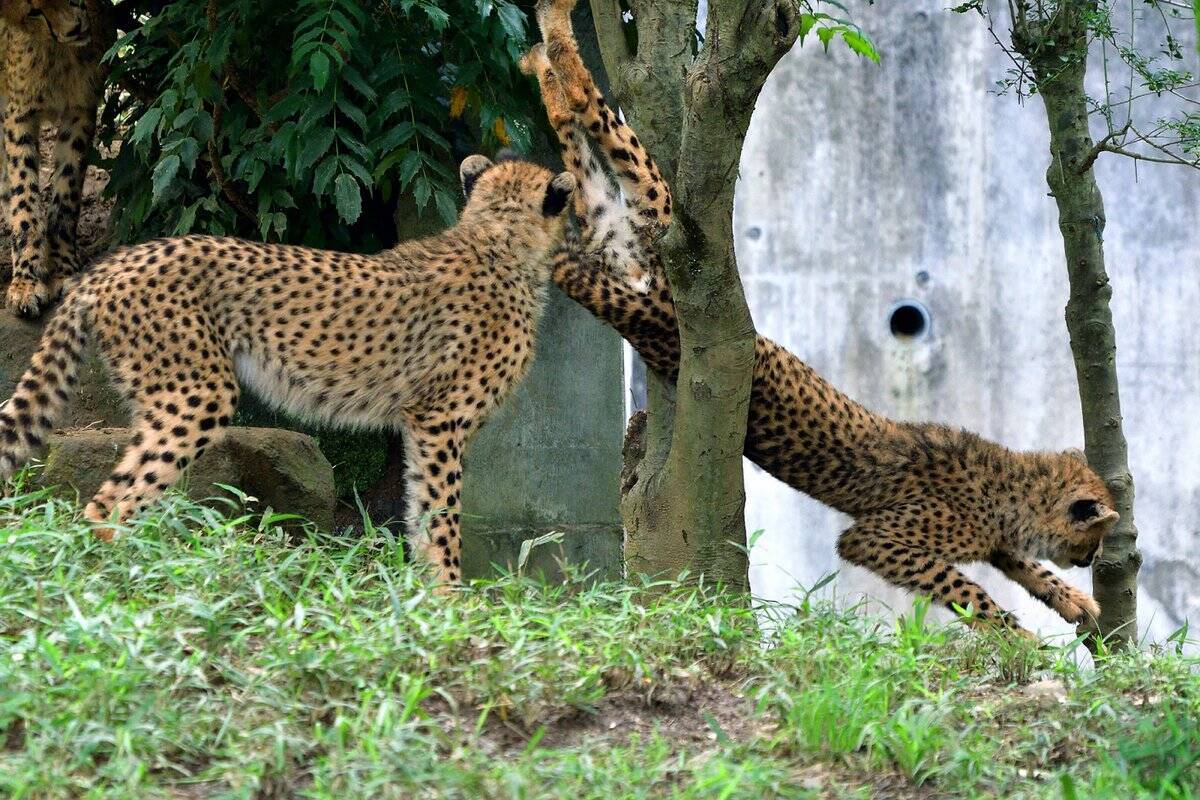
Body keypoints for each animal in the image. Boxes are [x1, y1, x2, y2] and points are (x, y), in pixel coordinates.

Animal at [0, 0, 113, 319]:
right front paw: (26, 281)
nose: (74, 28)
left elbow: (66, 195)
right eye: (34, 11)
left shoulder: (80, 109)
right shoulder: (18, 115)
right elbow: (24, 196)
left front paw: (63, 269)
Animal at [0, 153, 576, 585]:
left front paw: (424, 593)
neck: (498, 238)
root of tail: (110, 264)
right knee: (112, 503)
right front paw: (450, 599)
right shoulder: (441, 420)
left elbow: (419, 507)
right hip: (196, 393)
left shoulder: (420, 423)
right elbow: (442, 514)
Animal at [525, 0, 1113, 638]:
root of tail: (654, 275)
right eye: (1096, 534)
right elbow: (966, 589)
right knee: (586, 186)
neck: (1012, 488)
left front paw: (1070, 600)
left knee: (585, 154)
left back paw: (544, 60)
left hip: (629, 232)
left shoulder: (986, 539)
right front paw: (1017, 638)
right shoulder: (878, 540)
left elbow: (1022, 565)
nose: (1093, 560)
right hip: (649, 267)